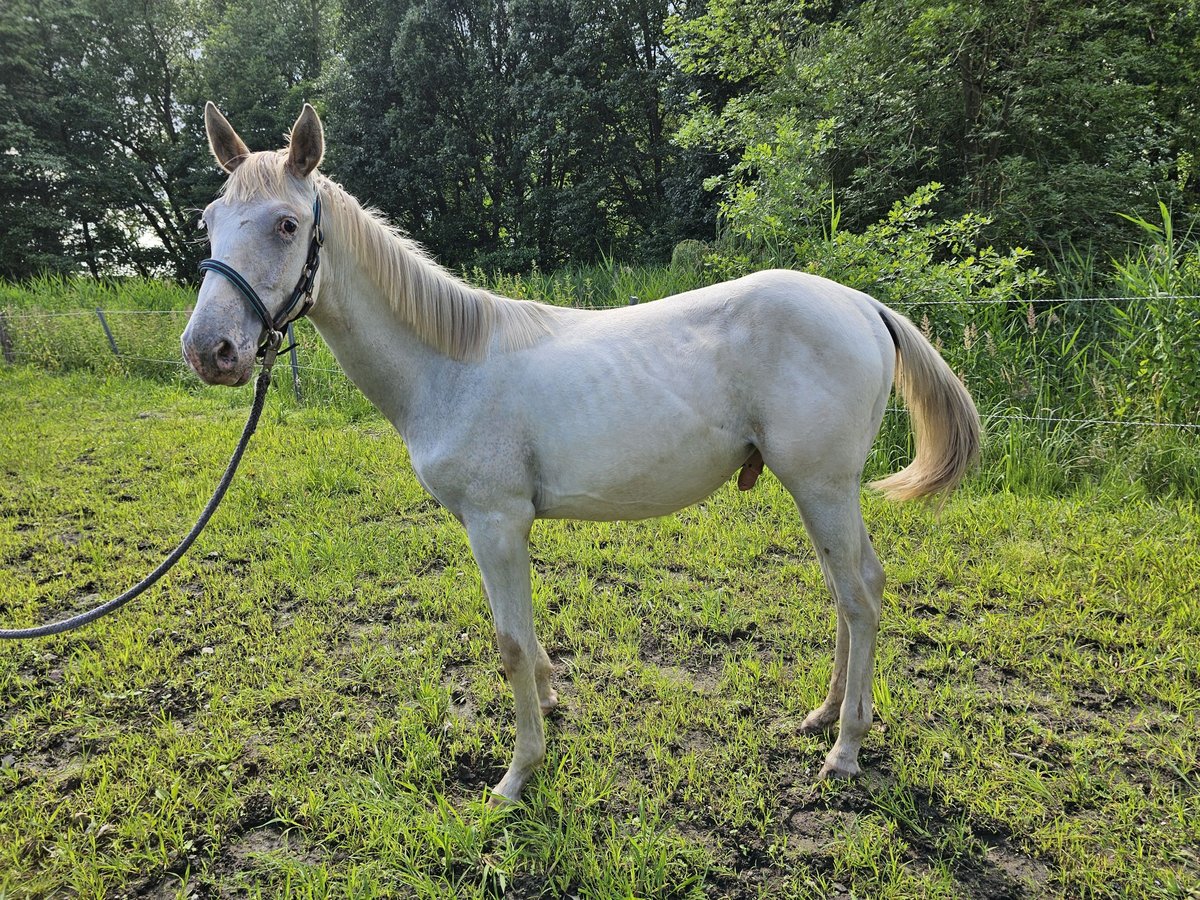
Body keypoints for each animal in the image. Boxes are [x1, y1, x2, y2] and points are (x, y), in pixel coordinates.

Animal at [182, 103, 979, 801]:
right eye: (209, 224)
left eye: (287, 224)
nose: (209, 350)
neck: (450, 365)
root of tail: (862, 305)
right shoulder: (504, 528)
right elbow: (528, 641)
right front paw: (551, 698)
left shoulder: (495, 524)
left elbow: (508, 644)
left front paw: (517, 775)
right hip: (820, 491)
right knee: (850, 591)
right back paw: (822, 717)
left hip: (822, 486)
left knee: (861, 597)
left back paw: (845, 748)